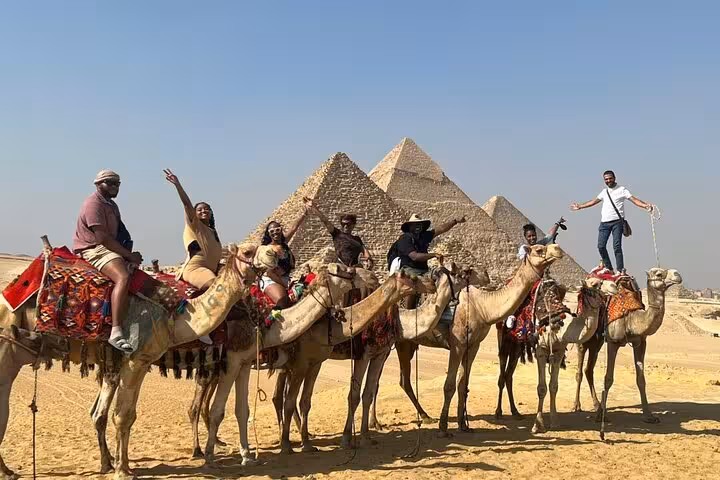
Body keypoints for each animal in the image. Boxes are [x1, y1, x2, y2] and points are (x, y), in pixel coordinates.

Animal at [0, 242, 269, 480]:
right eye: (248, 251)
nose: (274, 254)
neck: (175, 318)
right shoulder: (135, 360)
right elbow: (123, 415)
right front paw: (122, 470)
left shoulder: (141, 362)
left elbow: (128, 415)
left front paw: (125, 465)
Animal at [393, 243, 565, 435]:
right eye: (538, 250)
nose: (557, 249)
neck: (482, 308)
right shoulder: (457, 344)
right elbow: (449, 385)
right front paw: (443, 427)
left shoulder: (473, 345)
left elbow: (463, 384)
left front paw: (463, 425)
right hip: (402, 343)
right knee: (403, 380)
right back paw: (425, 417)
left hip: (408, 344)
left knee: (402, 380)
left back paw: (423, 416)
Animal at [531, 277, 618, 433]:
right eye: (594, 284)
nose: (614, 286)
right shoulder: (541, 349)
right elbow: (541, 388)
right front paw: (538, 424)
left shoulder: (559, 351)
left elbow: (553, 386)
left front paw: (555, 422)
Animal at [590, 267, 682, 425]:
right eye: (658, 274)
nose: (677, 274)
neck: (631, 319)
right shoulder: (613, 343)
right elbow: (608, 378)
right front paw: (602, 415)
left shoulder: (640, 343)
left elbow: (641, 380)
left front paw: (649, 416)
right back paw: (583, 406)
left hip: (598, 341)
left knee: (587, 369)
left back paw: (593, 405)